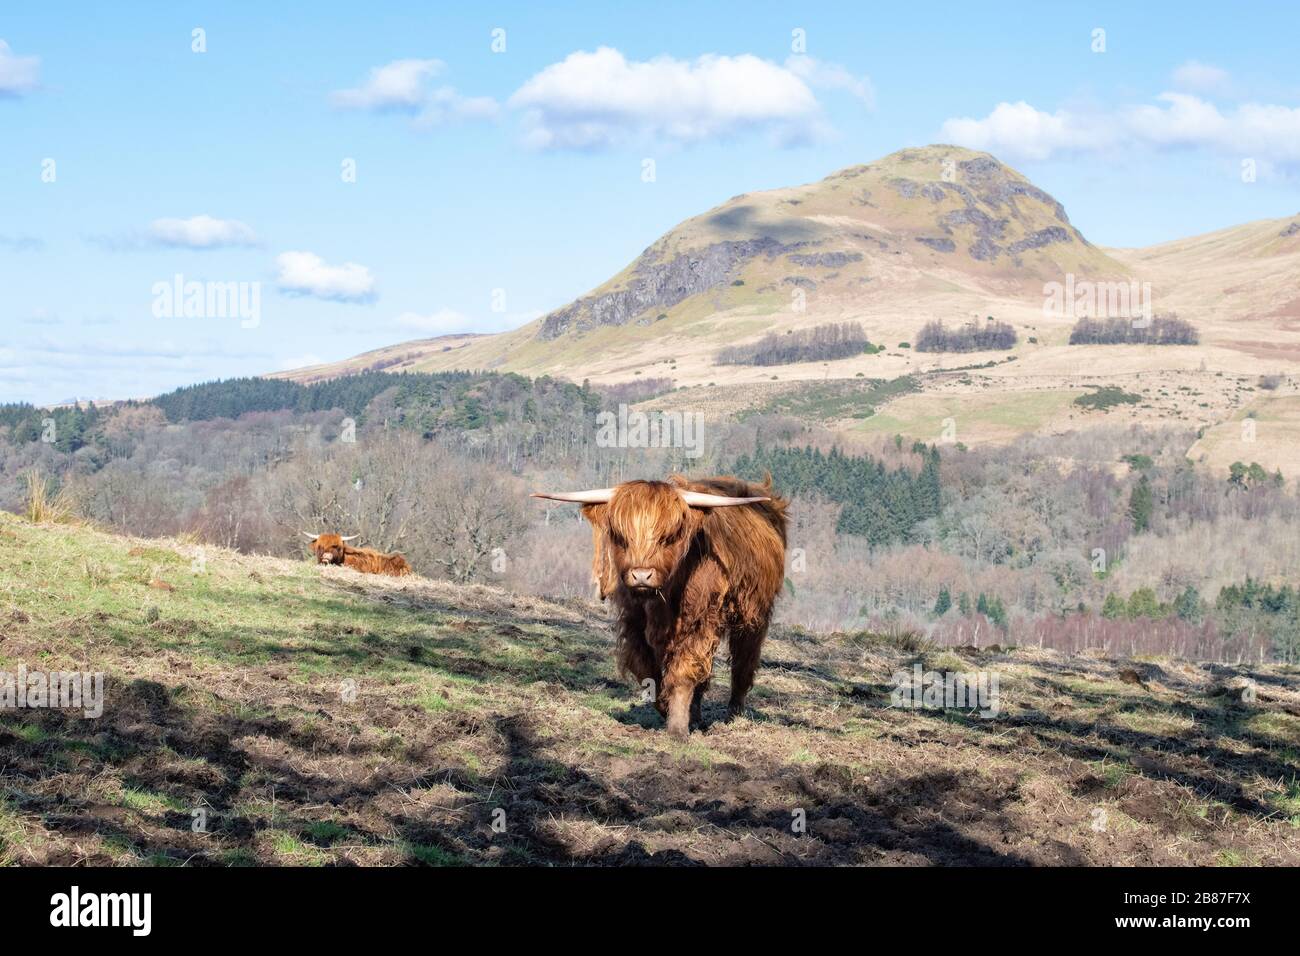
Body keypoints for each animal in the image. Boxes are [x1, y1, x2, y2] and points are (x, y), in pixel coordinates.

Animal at [530, 476, 790, 738]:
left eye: (668, 537)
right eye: (622, 537)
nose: (641, 575)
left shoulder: (699, 623)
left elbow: (684, 671)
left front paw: (677, 729)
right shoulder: (633, 622)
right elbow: (645, 668)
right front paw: (666, 705)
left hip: (753, 616)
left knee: (743, 663)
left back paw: (732, 715)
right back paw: (696, 716)